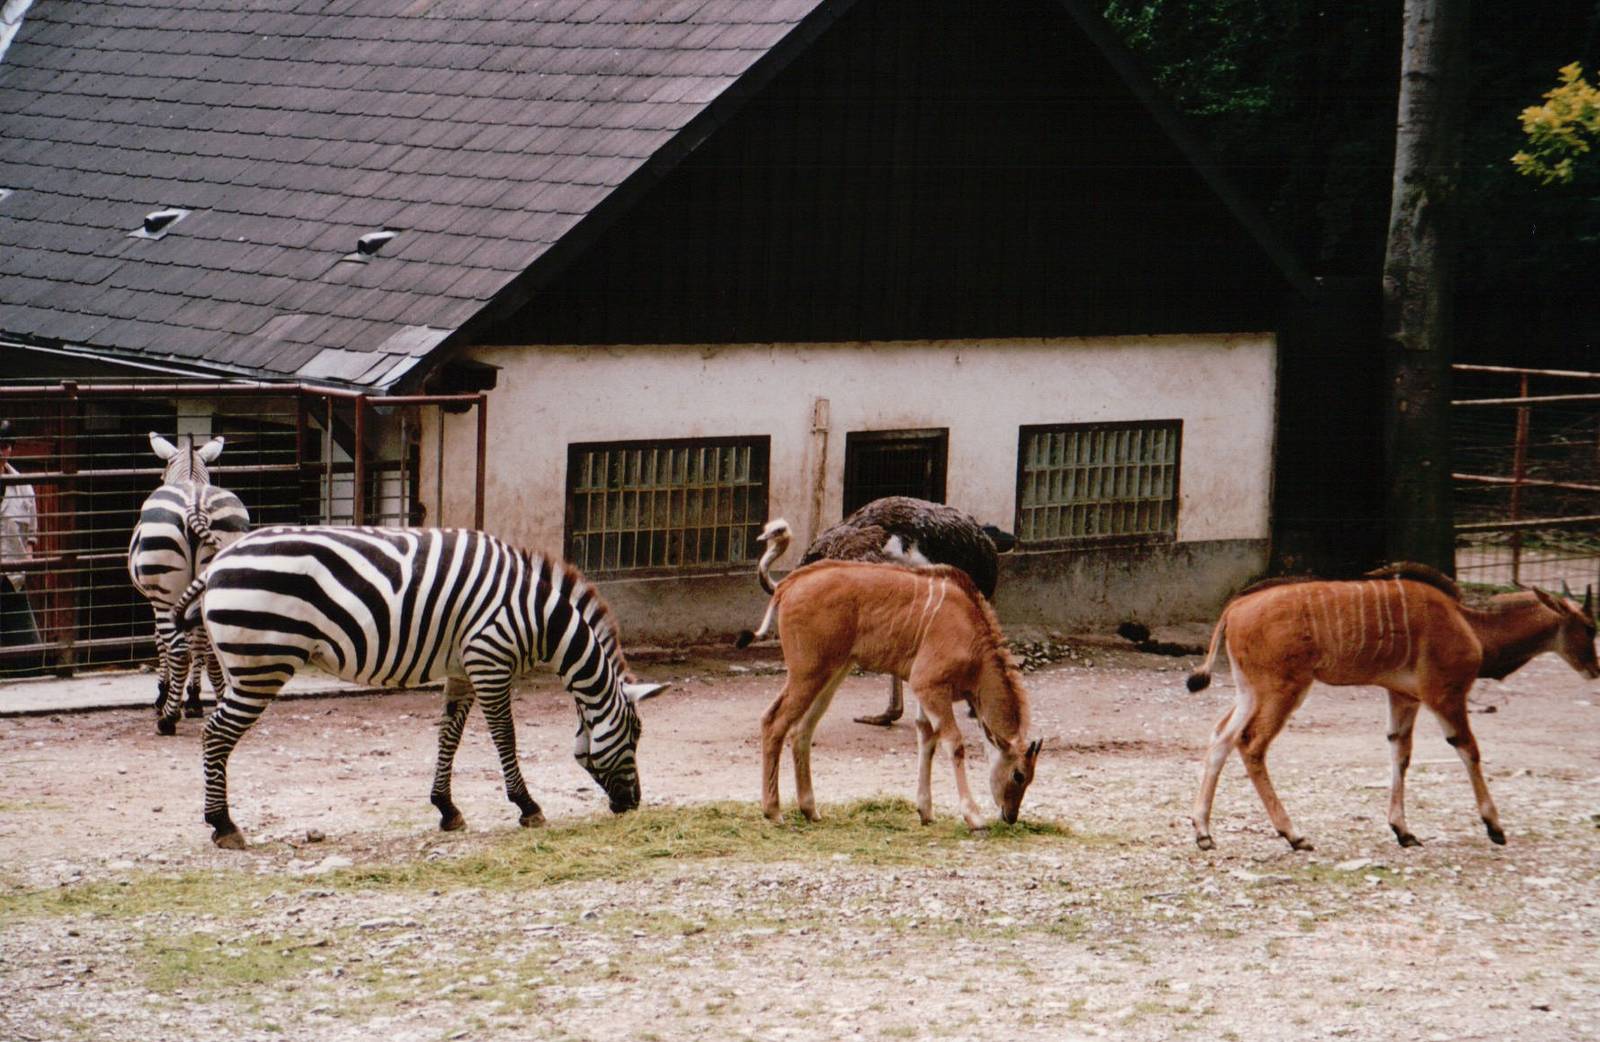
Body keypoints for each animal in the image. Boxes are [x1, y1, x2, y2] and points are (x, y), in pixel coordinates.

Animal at [126, 432, 250, 735]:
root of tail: (196, 506)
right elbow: (200, 645)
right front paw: (193, 699)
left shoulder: (155, 600)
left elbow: (162, 642)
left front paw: (163, 695)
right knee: (212, 648)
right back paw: (217, 700)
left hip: (164, 594)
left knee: (179, 650)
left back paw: (167, 719)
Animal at [169, 525, 667, 849]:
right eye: (635, 737)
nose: (633, 805)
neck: (541, 617)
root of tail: (219, 561)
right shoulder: (490, 658)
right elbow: (505, 737)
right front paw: (527, 806)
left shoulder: (463, 669)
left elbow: (449, 736)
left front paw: (446, 808)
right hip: (261, 664)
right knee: (215, 734)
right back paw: (223, 824)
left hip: (248, 664)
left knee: (216, 733)